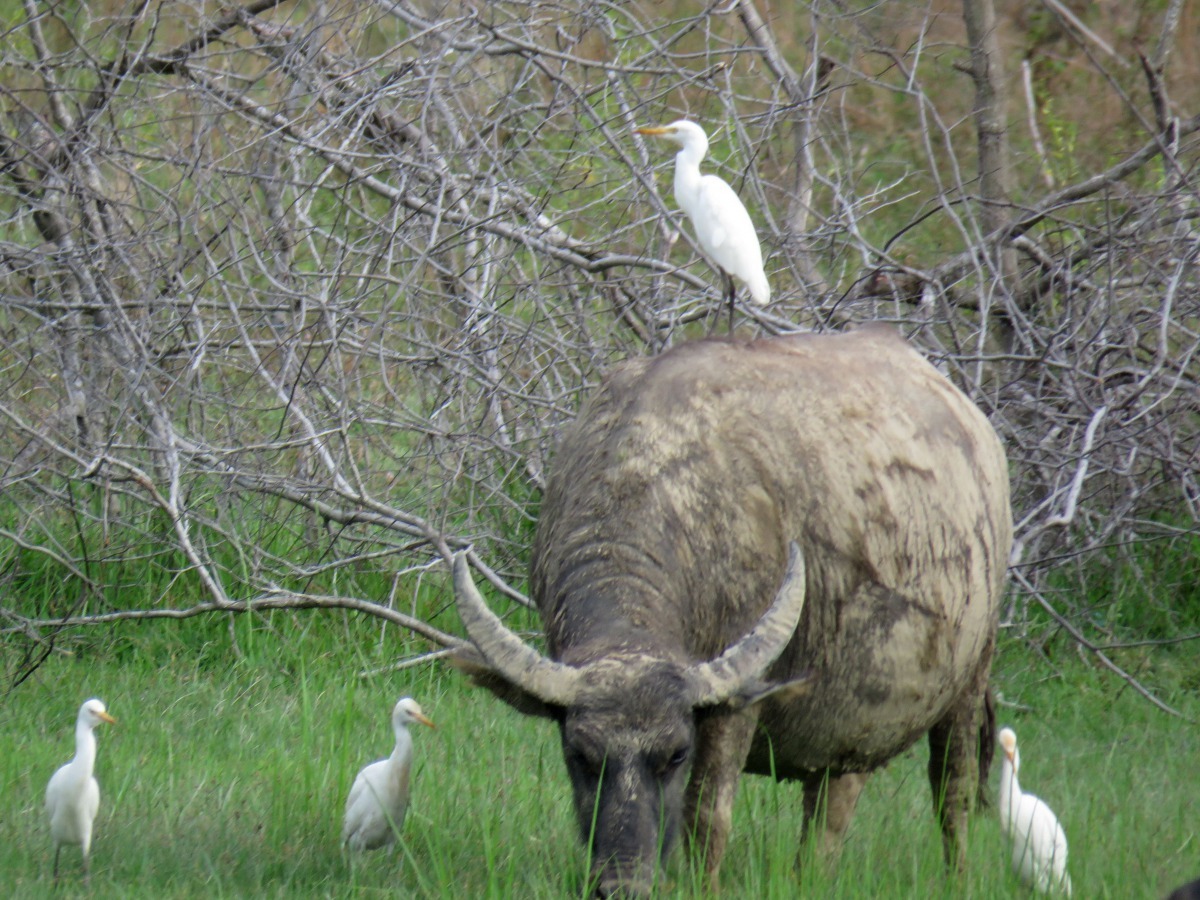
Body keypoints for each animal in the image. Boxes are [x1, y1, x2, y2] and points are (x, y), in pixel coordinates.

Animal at [453, 326, 1008, 897]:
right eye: (580, 755)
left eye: (676, 753)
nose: (624, 885)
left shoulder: (732, 713)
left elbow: (705, 818)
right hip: (848, 723)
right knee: (828, 812)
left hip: (970, 679)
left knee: (952, 791)